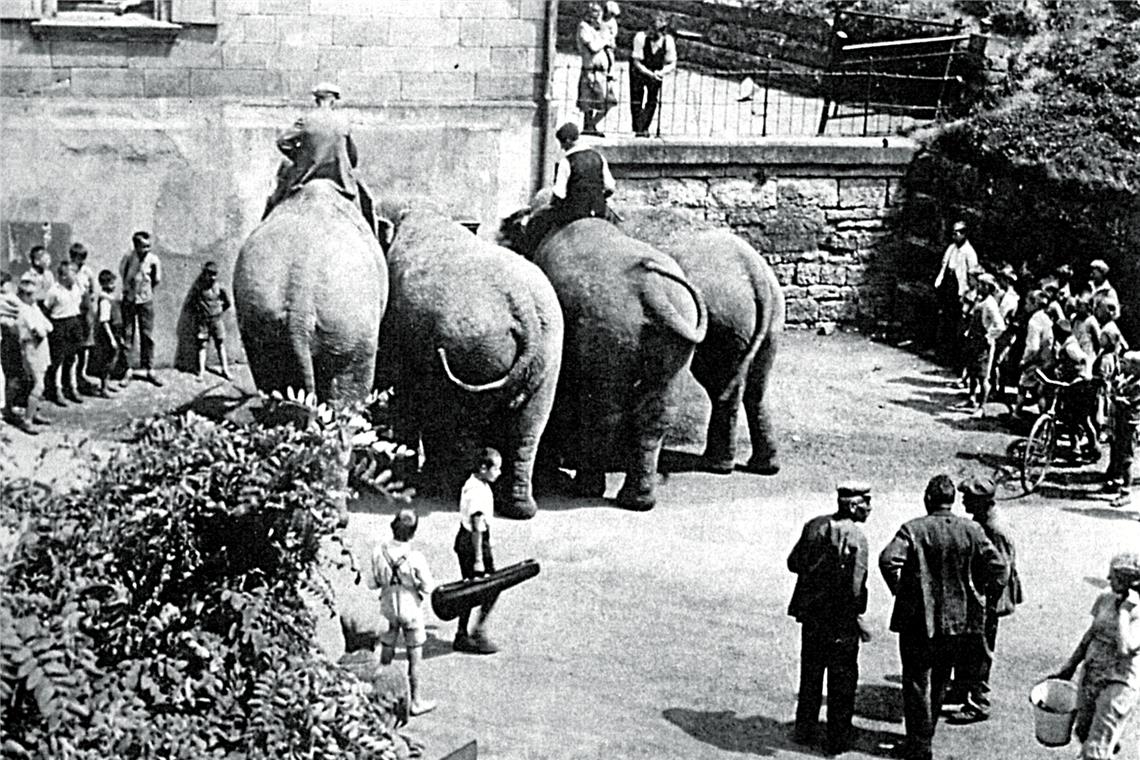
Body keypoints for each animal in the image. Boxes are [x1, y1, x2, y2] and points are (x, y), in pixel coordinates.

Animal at [376, 205, 563, 519]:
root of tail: (523, 307)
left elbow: (407, 397)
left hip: (474, 351)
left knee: (465, 421)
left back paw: (448, 487)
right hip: (547, 356)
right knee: (528, 430)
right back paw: (521, 508)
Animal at [497, 214, 702, 510]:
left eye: (516, 225)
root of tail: (652, 287)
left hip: (609, 328)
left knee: (603, 410)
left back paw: (588, 487)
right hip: (676, 333)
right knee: (656, 415)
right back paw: (638, 500)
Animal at [620, 208, 788, 476]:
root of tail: (755, 271)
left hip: (723, 315)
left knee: (721, 381)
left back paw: (717, 465)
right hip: (770, 318)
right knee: (755, 387)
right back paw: (764, 466)